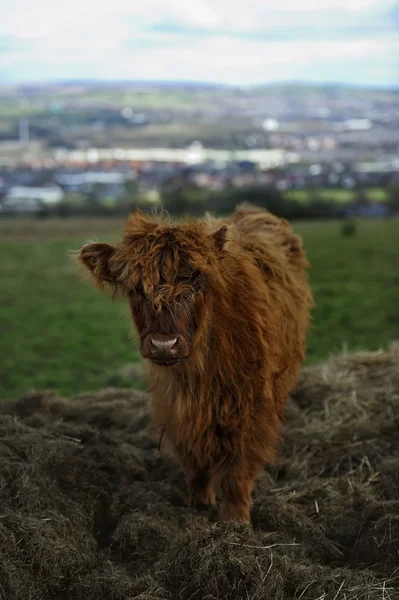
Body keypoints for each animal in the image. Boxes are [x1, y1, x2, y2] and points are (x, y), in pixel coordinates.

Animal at [78, 204, 314, 524]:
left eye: (197, 282)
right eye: (136, 289)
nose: (164, 344)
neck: (199, 374)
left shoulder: (252, 403)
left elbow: (238, 467)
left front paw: (236, 521)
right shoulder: (173, 404)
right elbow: (193, 458)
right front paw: (199, 505)